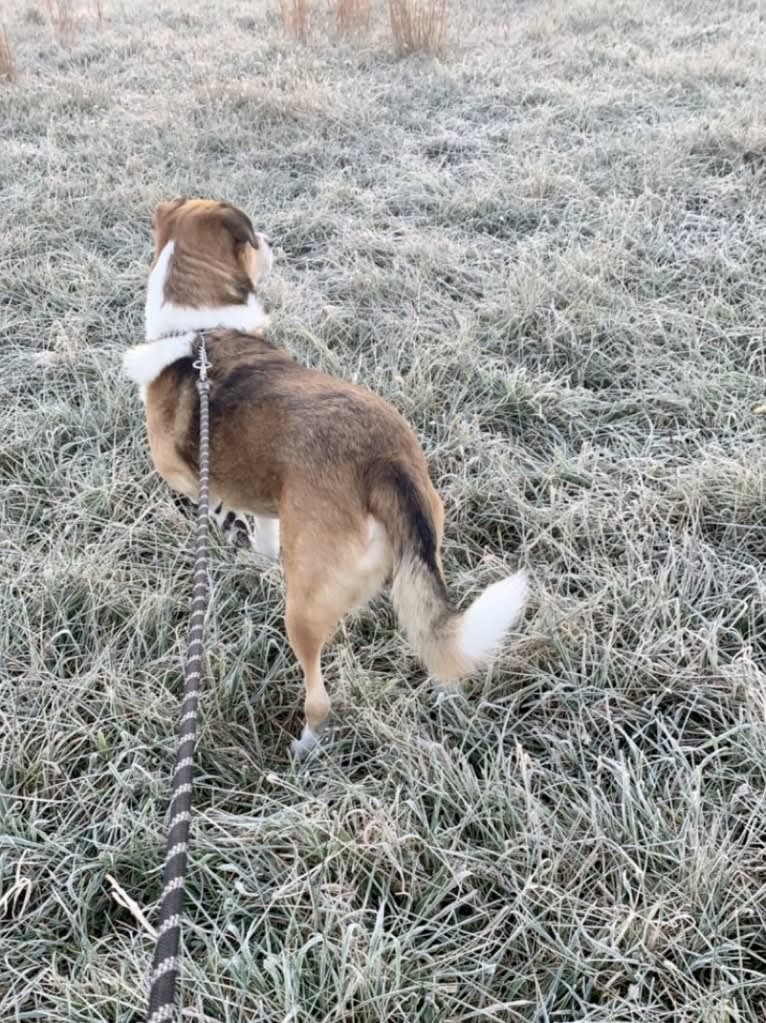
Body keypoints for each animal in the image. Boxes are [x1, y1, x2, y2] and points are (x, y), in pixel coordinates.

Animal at [122, 199, 527, 757]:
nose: (272, 241)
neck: (201, 331)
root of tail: (383, 463)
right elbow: (263, 527)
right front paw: (257, 553)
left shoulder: (182, 474)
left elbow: (213, 500)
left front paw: (225, 525)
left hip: (305, 608)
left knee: (318, 694)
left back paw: (303, 749)